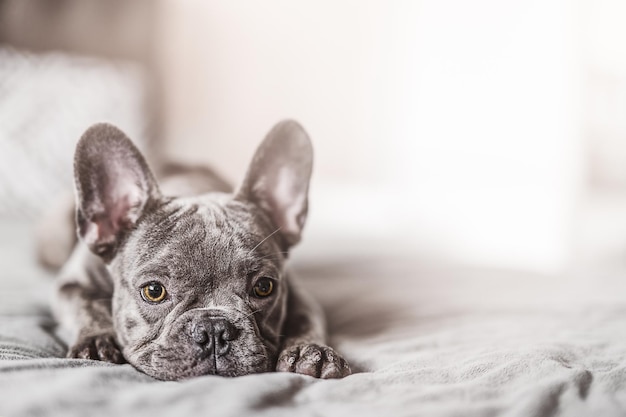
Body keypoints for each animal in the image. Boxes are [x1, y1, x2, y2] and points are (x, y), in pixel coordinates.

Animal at [50, 120, 352, 380]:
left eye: (264, 287)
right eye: (153, 291)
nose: (214, 328)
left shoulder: (295, 289)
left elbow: (306, 316)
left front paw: (311, 351)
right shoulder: (72, 283)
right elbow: (86, 306)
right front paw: (96, 340)